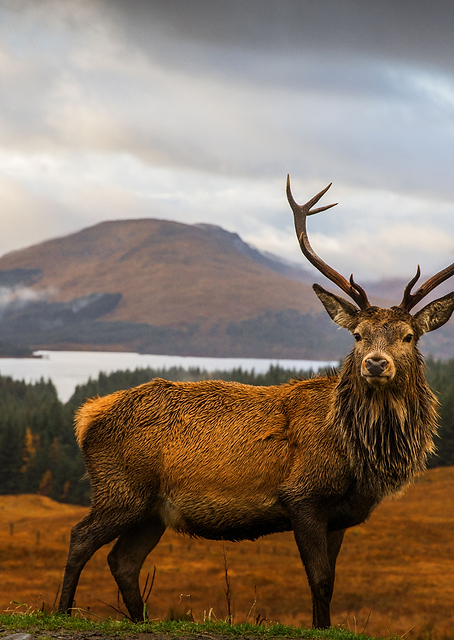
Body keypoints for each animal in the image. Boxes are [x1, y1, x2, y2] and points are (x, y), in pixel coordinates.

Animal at [58, 177, 454, 628]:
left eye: (409, 336)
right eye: (358, 335)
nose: (375, 363)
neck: (359, 456)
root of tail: (87, 415)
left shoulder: (340, 516)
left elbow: (331, 582)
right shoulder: (302, 496)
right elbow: (319, 580)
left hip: (152, 511)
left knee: (122, 560)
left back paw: (140, 620)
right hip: (120, 489)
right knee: (80, 538)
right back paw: (62, 611)